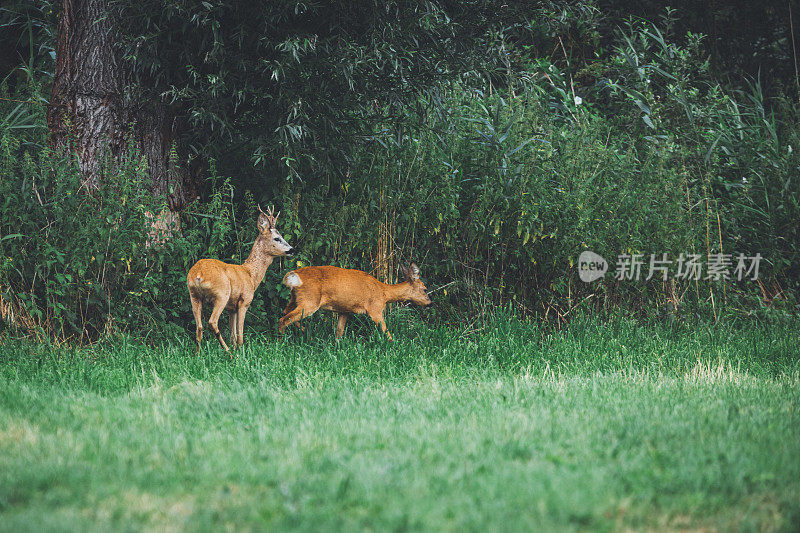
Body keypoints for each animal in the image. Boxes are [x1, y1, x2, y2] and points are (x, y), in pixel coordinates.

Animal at [188, 206, 294, 352]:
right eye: (277, 238)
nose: (292, 249)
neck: (251, 275)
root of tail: (199, 274)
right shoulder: (244, 301)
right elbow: (240, 332)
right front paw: (240, 350)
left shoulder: (231, 308)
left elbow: (233, 333)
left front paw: (235, 348)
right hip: (221, 294)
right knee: (212, 322)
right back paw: (228, 351)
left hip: (194, 295)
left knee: (199, 327)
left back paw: (199, 354)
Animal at [280, 262, 432, 340]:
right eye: (425, 289)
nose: (430, 303)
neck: (384, 292)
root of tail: (294, 277)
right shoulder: (375, 309)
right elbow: (385, 330)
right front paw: (394, 345)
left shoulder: (344, 310)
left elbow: (339, 332)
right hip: (309, 301)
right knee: (284, 320)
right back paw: (281, 342)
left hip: (296, 298)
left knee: (284, 313)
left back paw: (306, 333)